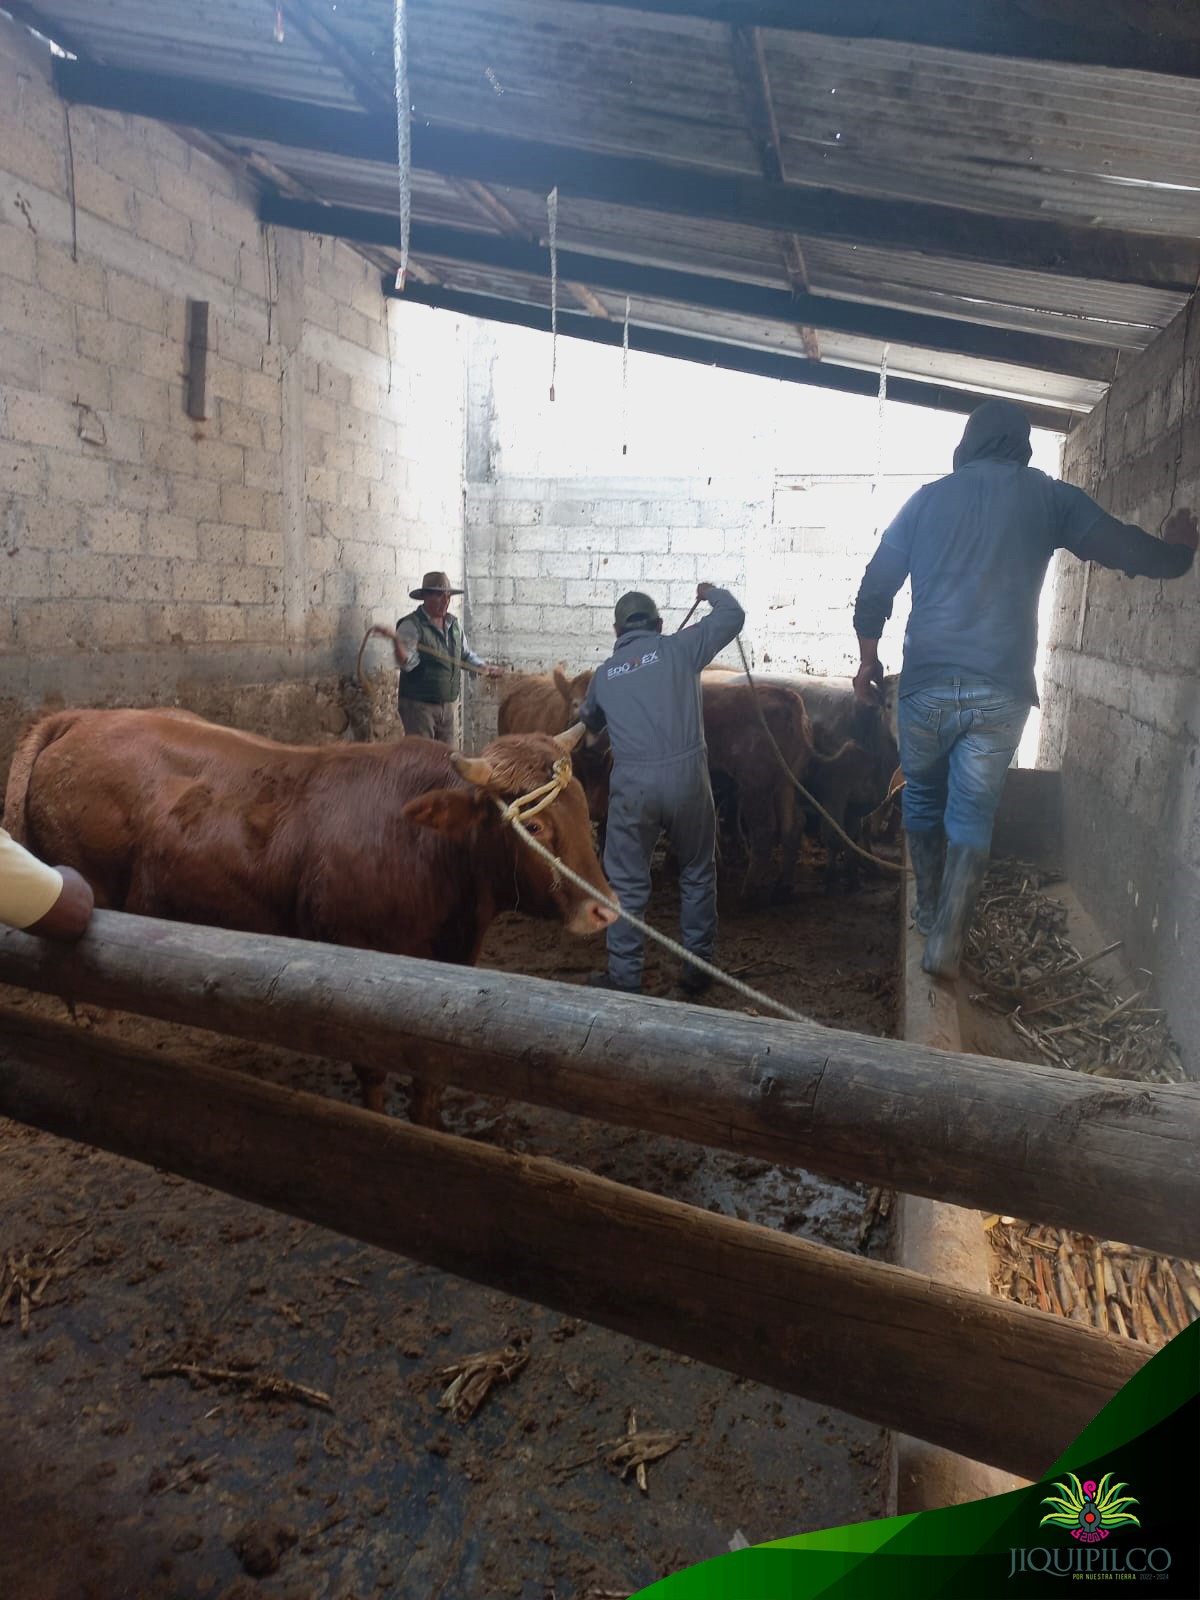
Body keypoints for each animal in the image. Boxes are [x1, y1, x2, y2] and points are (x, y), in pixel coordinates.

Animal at [4, 707, 614, 1132]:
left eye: (585, 808)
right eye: (533, 826)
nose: (603, 908)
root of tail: (81, 718)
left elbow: (431, 1075)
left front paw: (431, 1125)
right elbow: (371, 1070)